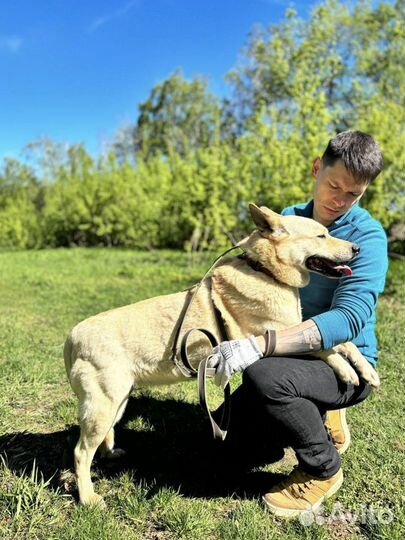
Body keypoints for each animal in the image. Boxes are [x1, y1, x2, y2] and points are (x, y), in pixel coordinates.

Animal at [63, 204, 378, 506]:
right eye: (321, 236)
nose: (357, 249)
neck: (265, 271)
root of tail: (72, 337)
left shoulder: (297, 325)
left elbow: (342, 341)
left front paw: (366, 369)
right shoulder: (274, 334)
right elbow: (324, 346)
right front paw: (346, 370)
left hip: (118, 403)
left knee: (102, 439)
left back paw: (110, 455)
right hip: (103, 406)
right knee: (80, 452)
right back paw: (88, 498)